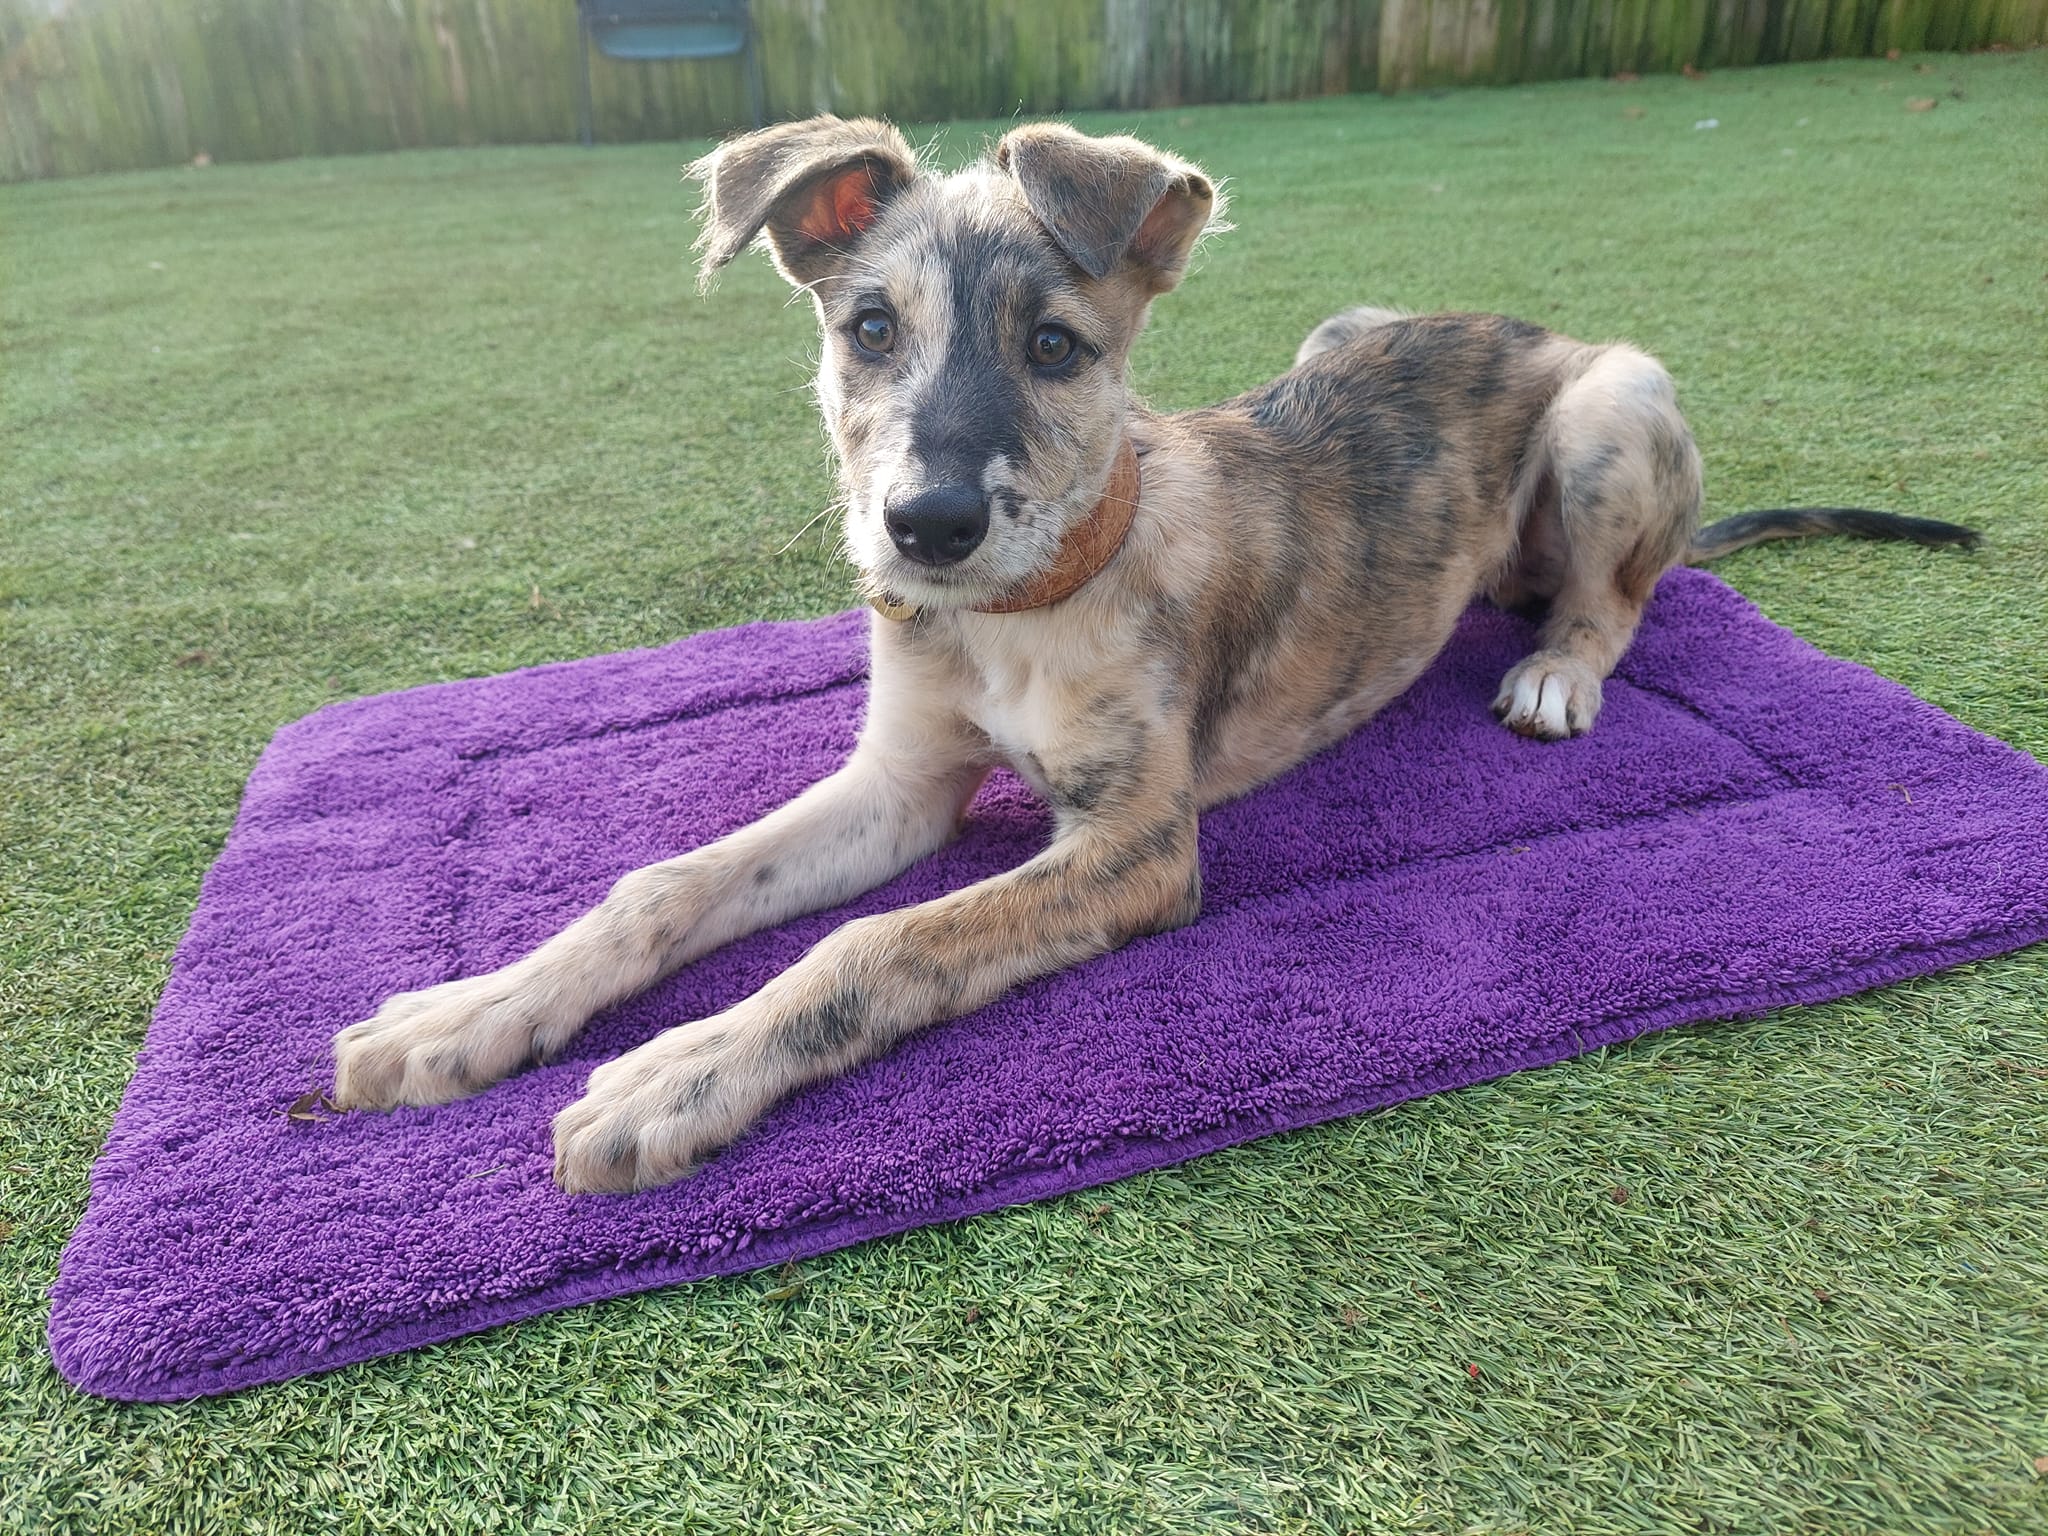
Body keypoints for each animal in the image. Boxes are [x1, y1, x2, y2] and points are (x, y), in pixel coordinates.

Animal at [327, 114, 1974, 1196]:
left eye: (1057, 349)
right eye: (868, 328)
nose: (921, 531)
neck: (1023, 609)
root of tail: (1536, 327)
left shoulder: (1138, 844)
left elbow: (878, 944)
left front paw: (678, 1074)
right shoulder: (900, 787)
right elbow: (667, 882)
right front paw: (468, 1015)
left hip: (1610, 408)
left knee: (1618, 597)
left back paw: (1558, 667)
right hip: (1345, 328)